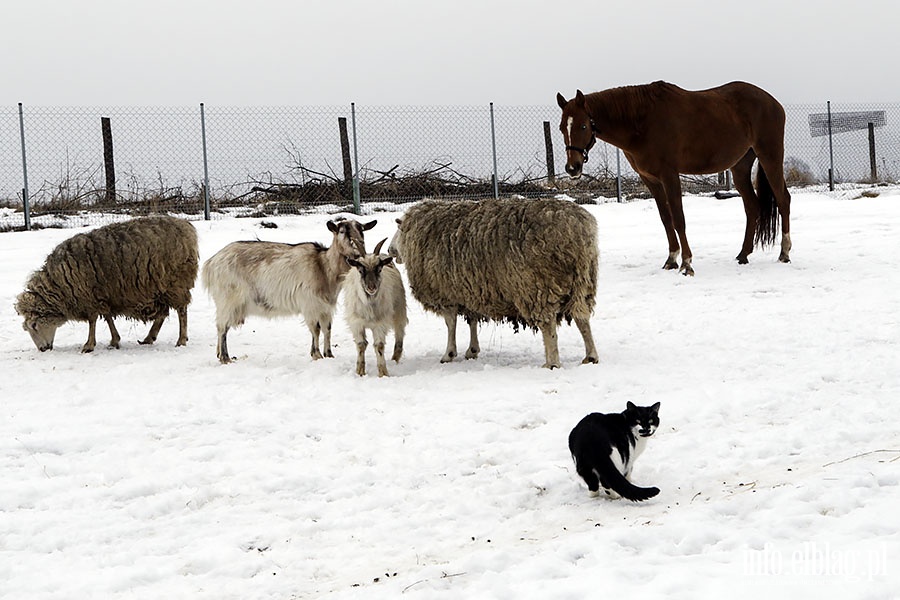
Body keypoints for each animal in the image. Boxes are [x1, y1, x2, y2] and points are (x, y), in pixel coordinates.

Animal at [15, 216, 199, 352]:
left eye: (34, 325)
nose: (42, 349)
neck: (59, 286)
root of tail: (187, 226)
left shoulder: (88, 296)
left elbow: (93, 321)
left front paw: (89, 345)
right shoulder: (105, 294)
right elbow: (108, 317)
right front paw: (114, 340)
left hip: (176, 283)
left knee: (181, 311)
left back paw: (181, 340)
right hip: (159, 288)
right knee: (163, 313)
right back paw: (149, 338)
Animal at [202, 218, 374, 364]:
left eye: (362, 230)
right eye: (342, 231)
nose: (356, 255)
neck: (324, 266)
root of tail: (211, 262)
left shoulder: (325, 307)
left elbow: (327, 329)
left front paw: (329, 354)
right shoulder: (310, 304)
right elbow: (316, 329)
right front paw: (316, 355)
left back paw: (219, 353)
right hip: (228, 299)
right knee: (222, 327)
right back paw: (225, 357)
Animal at [342, 238, 410, 376]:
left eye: (379, 269)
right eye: (360, 270)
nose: (371, 287)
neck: (369, 303)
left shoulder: (380, 323)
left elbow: (379, 346)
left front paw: (383, 373)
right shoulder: (356, 322)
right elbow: (361, 344)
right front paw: (360, 371)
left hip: (400, 309)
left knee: (399, 333)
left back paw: (395, 359)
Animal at [386, 199, 596, 368]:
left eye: (397, 230)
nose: (390, 250)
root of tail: (575, 231)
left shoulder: (446, 293)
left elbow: (450, 323)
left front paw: (449, 353)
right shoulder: (470, 288)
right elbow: (472, 320)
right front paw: (472, 350)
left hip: (538, 287)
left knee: (549, 326)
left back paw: (552, 362)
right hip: (583, 283)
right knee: (582, 319)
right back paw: (591, 356)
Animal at [560, 81, 792, 276]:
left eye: (583, 126)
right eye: (563, 127)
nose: (573, 168)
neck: (643, 122)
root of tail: (774, 103)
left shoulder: (669, 174)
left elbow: (679, 219)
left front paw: (687, 263)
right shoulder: (650, 179)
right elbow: (666, 218)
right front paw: (671, 259)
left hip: (770, 156)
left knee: (783, 200)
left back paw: (784, 253)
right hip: (740, 167)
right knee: (752, 206)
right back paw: (743, 254)